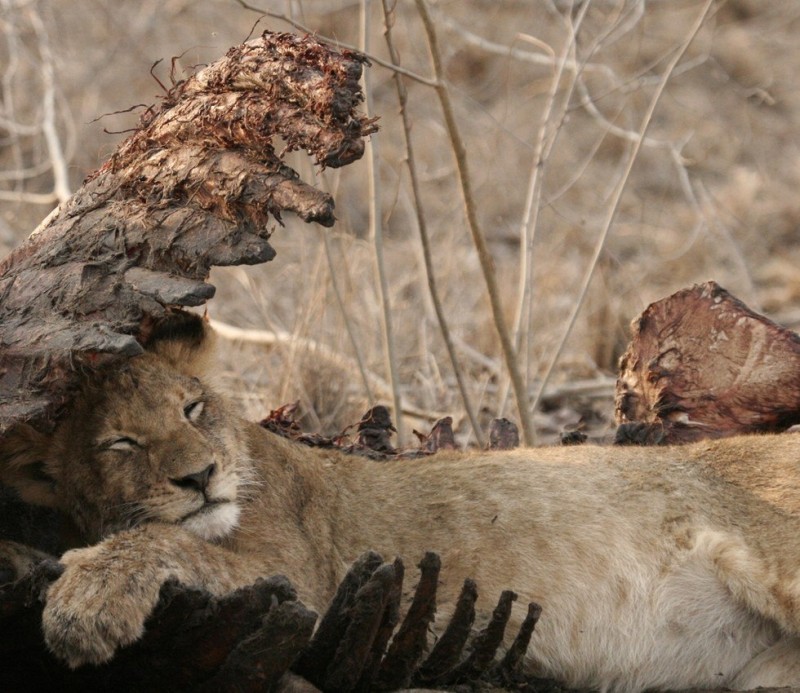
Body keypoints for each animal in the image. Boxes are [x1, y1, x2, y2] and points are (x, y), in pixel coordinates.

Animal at [1, 314, 800, 692]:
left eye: (193, 408)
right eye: (120, 444)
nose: (200, 476)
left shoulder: (309, 580)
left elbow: (169, 540)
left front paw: (84, 604)